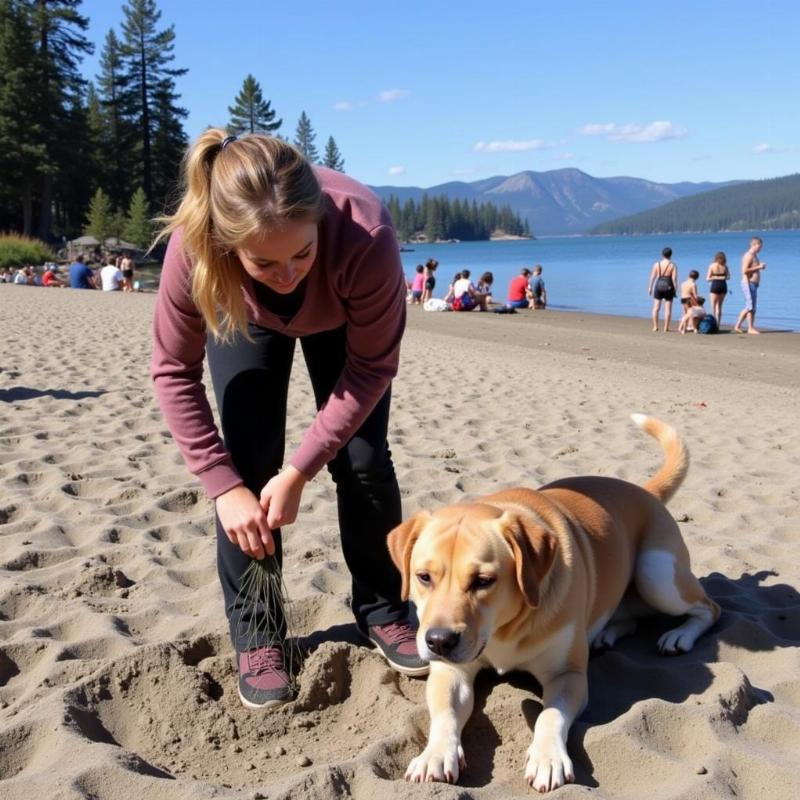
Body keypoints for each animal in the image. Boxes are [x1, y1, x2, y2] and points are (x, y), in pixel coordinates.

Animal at [388, 416, 720, 792]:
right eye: (423, 577)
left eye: (484, 581)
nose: (439, 642)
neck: (503, 629)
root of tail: (645, 491)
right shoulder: (451, 671)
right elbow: (444, 713)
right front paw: (435, 753)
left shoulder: (568, 675)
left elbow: (550, 714)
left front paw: (547, 758)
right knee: (629, 617)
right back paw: (605, 635)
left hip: (657, 574)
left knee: (709, 607)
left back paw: (679, 636)